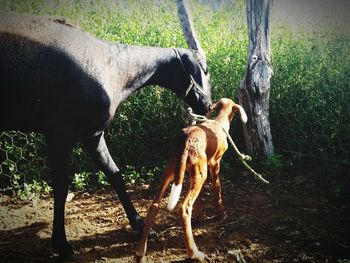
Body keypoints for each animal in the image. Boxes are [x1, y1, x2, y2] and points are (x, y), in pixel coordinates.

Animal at [0, 12, 212, 258]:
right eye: (205, 69)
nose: (208, 105)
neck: (112, 66)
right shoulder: (59, 137)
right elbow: (61, 188)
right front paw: (61, 244)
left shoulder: (92, 135)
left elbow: (115, 175)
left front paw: (139, 225)